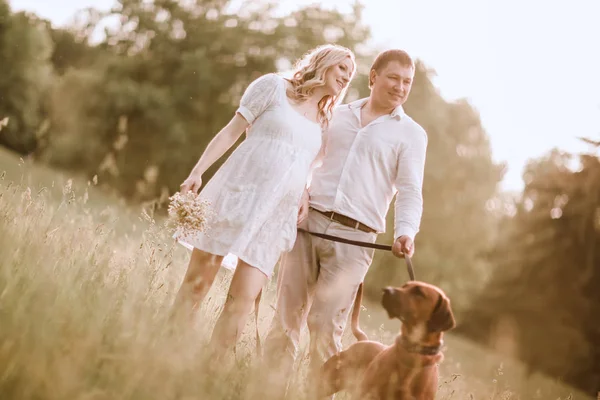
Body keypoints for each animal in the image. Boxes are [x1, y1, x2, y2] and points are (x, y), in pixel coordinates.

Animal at [318, 282, 454, 400]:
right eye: (404, 286)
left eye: (419, 292)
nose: (387, 290)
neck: (411, 355)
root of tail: (364, 340)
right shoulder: (368, 395)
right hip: (326, 382)